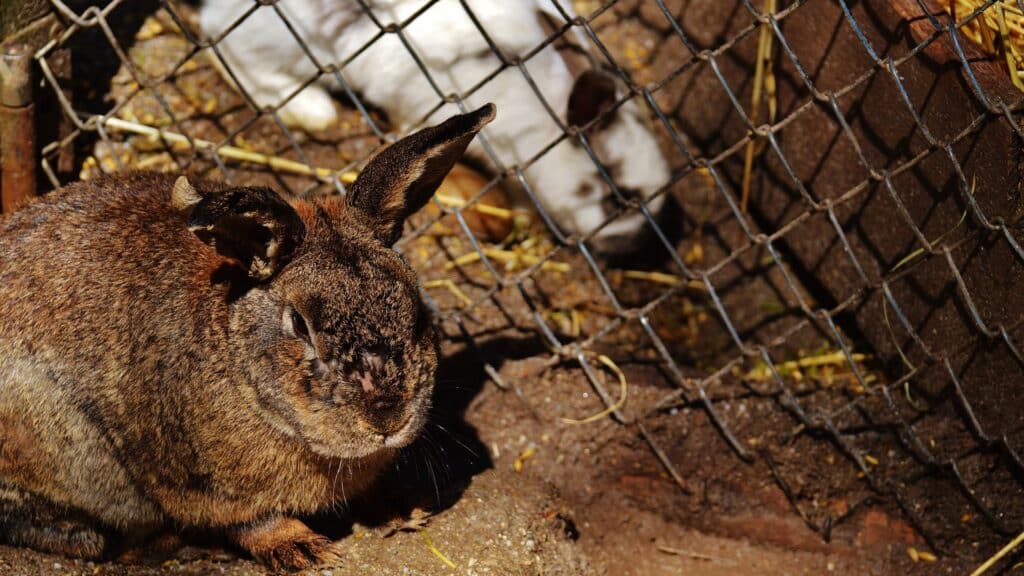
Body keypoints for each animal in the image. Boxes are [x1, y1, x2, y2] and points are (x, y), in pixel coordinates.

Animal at [0, 105, 495, 565]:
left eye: (415, 308)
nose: (387, 419)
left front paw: (403, 510)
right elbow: (255, 521)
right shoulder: (208, 488)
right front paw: (304, 549)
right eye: (299, 324)